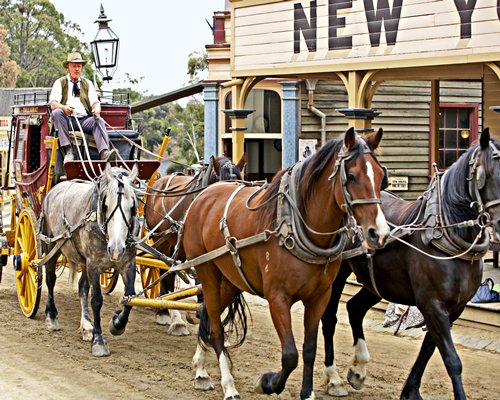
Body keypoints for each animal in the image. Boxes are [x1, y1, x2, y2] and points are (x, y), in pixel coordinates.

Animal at [40, 162, 139, 356]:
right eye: (105, 205)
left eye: (132, 206)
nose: (116, 250)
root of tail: (56, 187)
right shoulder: (93, 264)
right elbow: (97, 300)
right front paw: (98, 341)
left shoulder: (127, 264)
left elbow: (129, 297)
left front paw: (117, 324)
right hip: (51, 245)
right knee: (50, 279)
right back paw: (51, 317)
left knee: (82, 287)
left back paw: (86, 326)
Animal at [180, 127, 390, 400]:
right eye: (352, 176)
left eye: (381, 176)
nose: (379, 233)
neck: (296, 227)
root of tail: (204, 196)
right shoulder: (277, 298)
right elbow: (290, 354)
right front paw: (268, 383)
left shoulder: (320, 296)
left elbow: (309, 348)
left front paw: (307, 393)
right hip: (207, 273)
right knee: (215, 327)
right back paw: (228, 384)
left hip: (229, 280)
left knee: (206, 314)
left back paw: (201, 371)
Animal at [320, 129, 500, 400]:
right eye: (485, 174)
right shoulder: (432, 304)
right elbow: (452, 359)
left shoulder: (453, 308)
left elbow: (428, 350)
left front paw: (411, 390)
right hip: (337, 273)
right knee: (329, 317)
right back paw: (334, 379)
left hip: (380, 283)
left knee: (354, 308)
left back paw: (358, 370)